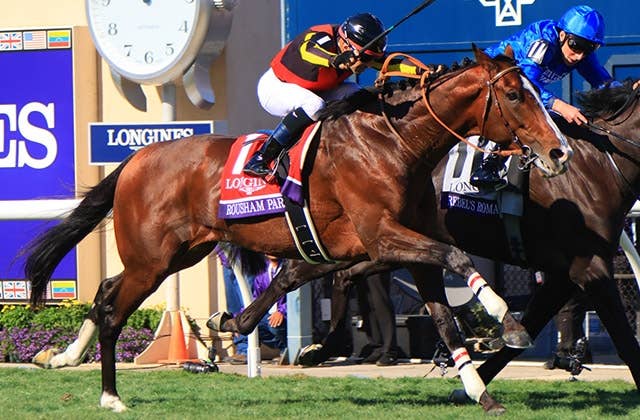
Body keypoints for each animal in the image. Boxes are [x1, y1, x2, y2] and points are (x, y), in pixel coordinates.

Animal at [24, 46, 570, 413]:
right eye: (516, 95)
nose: (559, 151)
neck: (394, 143)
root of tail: (137, 159)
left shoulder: (401, 247)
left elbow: (442, 316)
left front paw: (480, 391)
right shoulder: (382, 237)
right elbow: (456, 259)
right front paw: (509, 322)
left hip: (176, 254)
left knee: (104, 291)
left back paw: (66, 357)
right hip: (151, 259)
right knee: (113, 310)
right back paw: (110, 395)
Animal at [216, 80, 640, 399]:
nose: (557, 155)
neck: (597, 165)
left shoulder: (563, 274)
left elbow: (531, 326)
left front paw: (472, 381)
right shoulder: (590, 268)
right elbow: (623, 339)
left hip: (375, 243)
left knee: (316, 273)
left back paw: (306, 342)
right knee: (319, 273)